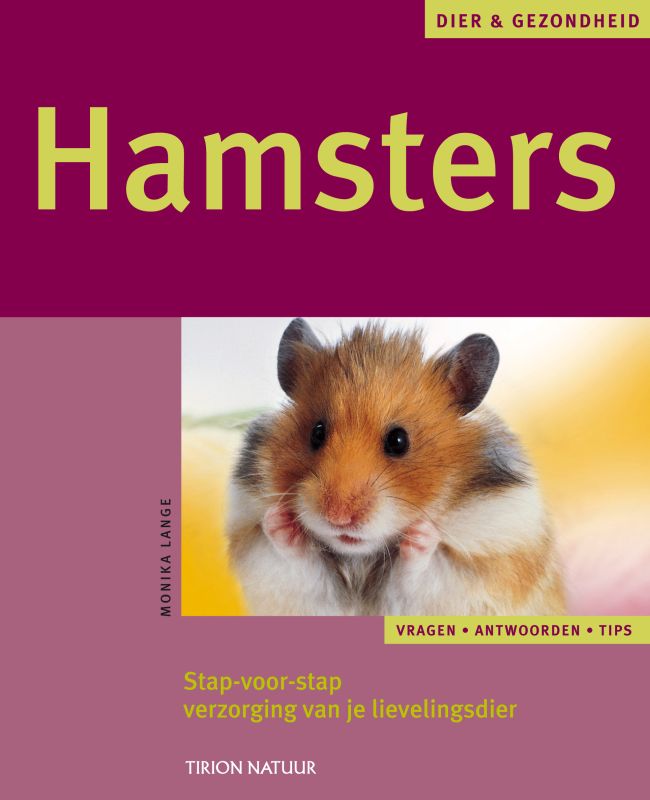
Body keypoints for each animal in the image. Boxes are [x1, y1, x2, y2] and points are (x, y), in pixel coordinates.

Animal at [226, 319, 565, 616]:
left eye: (399, 441)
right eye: (317, 433)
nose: (338, 517)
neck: (360, 558)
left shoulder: (480, 569)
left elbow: (417, 571)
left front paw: (421, 533)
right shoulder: (282, 579)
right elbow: (294, 558)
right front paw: (280, 520)